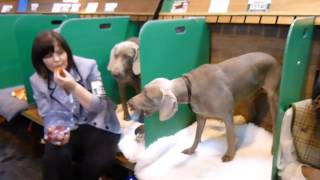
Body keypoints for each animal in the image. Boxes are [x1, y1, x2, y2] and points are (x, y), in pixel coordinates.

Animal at [127, 51, 280, 162]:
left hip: (272, 97)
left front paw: (229, 155)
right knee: (252, 112)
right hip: (247, 93)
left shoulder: (227, 115)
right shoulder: (201, 117)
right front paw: (191, 150)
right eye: (143, 89)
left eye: (147, 95)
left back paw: (273, 147)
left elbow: (230, 137)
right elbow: (196, 136)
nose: (129, 102)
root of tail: (271, 56)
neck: (190, 86)